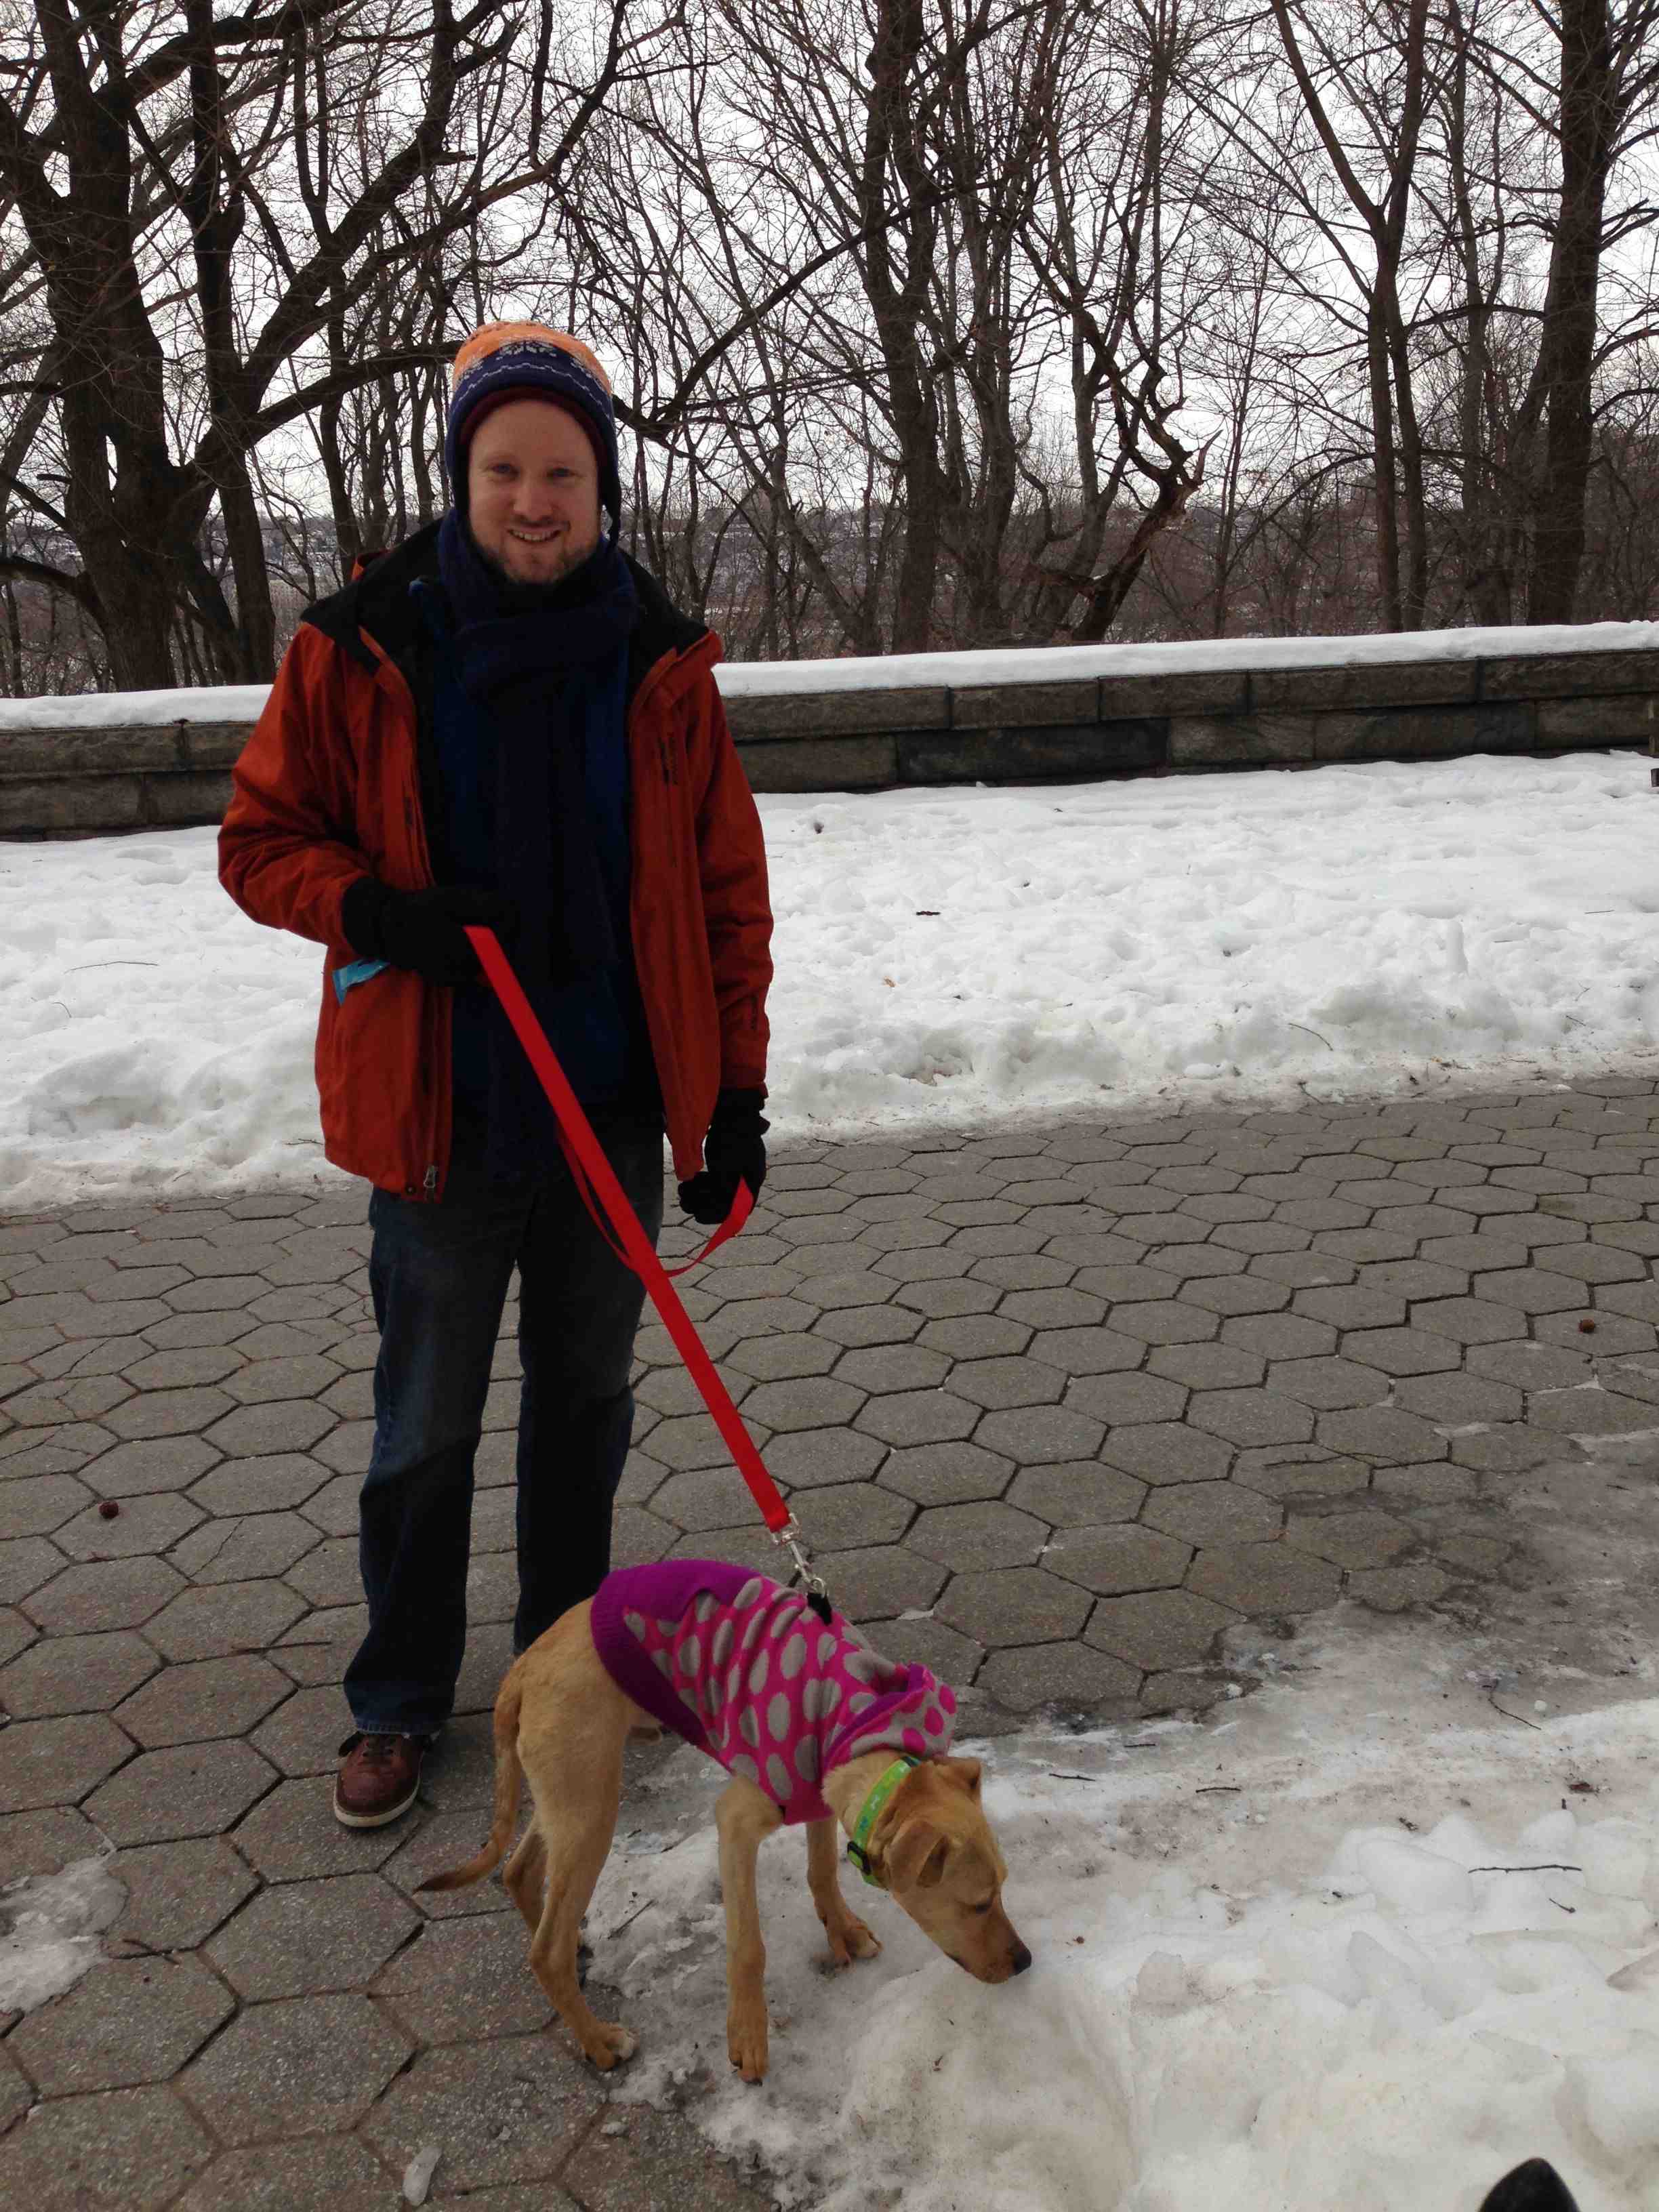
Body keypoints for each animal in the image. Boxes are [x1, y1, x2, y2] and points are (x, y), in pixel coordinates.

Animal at [420, 1560, 1028, 2081]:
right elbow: (748, 1946)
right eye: (978, 1904)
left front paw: (844, 1930)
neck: (860, 1724)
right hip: (590, 1806)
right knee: (543, 1951)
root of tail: (524, 1667)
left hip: (570, 1798)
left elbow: (822, 1873)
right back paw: (599, 2040)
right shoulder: (734, 1824)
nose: (1025, 1963)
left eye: (1003, 1889)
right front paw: (748, 2037)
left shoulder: (819, 1797)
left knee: (519, 1872)